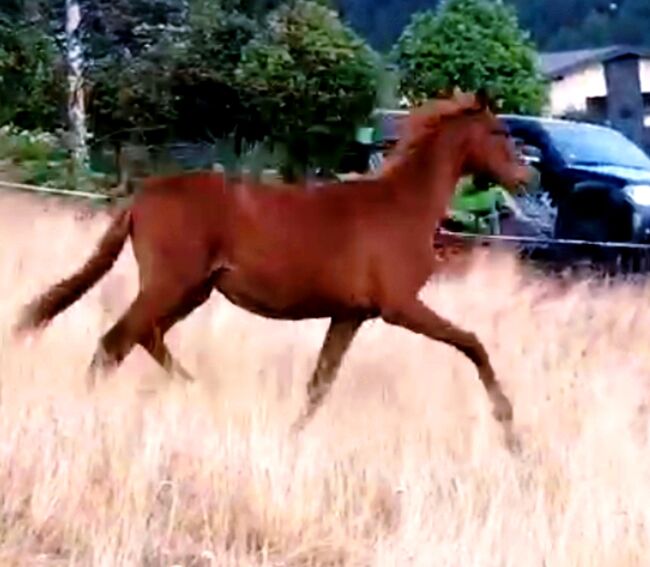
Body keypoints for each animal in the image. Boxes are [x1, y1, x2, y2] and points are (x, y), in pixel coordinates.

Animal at [15, 92, 528, 448]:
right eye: (499, 132)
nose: (527, 178)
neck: (403, 206)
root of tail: (140, 198)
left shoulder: (350, 315)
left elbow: (320, 383)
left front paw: (292, 435)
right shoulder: (400, 306)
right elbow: (474, 345)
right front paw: (510, 430)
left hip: (192, 291)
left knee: (145, 337)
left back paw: (198, 392)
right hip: (171, 285)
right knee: (114, 343)